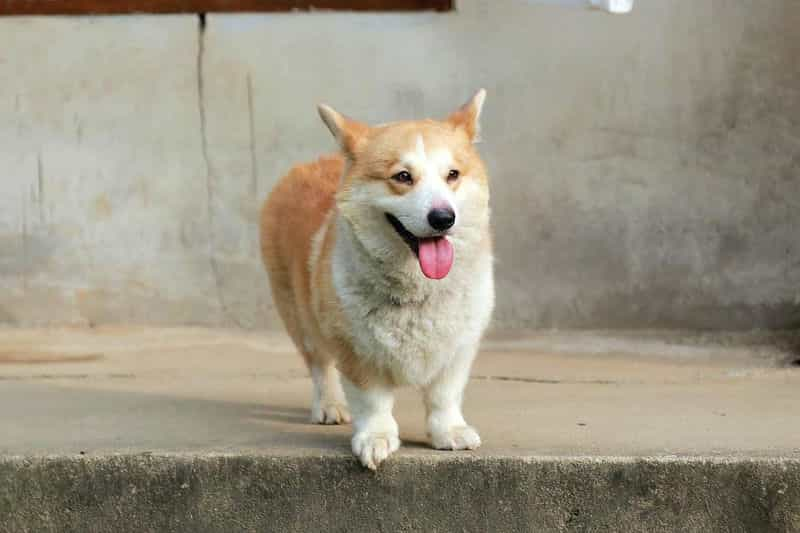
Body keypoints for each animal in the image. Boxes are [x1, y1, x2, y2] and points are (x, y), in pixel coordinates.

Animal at [260, 91, 494, 470]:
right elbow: (372, 401)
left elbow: (444, 393)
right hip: (299, 316)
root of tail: (308, 164)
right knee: (319, 364)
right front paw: (376, 438)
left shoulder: (459, 346)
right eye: (402, 176)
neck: (416, 290)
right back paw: (329, 406)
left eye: (453, 174)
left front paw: (449, 432)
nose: (443, 218)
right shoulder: (355, 349)